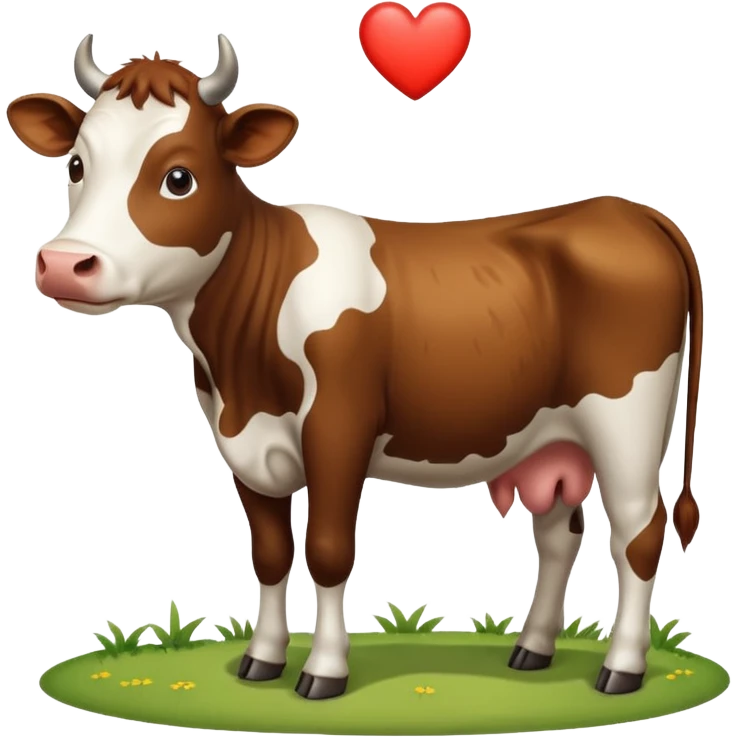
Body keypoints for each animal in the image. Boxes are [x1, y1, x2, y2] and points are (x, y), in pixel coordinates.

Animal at [9, 34, 703, 701]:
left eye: (179, 176)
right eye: (76, 165)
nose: (65, 264)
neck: (237, 368)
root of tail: (629, 211)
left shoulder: (339, 429)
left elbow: (327, 550)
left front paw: (323, 672)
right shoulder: (243, 444)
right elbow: (270, 554)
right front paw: (262, 661)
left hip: (627, 423)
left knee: (638, 533)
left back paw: (622, 668)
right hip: (552, 441)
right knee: (561, 534)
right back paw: (532, 650)